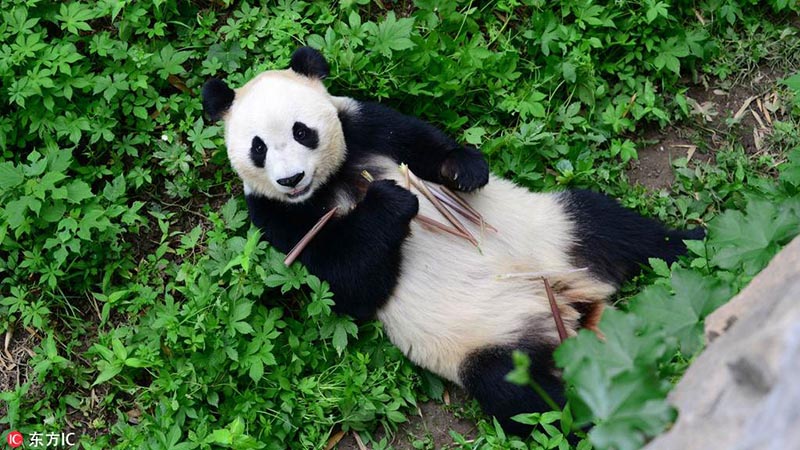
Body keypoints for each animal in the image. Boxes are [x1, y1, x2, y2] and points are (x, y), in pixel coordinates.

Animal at [202, 47, 703, 435]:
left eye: (302, 130)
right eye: (258, 147)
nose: (291, 179)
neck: (333, 183)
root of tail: (575, 306)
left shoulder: (364, 126)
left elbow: (422, 142)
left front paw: (463, 170)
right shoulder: (279, 220)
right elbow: (349, 283)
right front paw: (391, 202)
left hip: (556, 229)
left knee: (622, 229)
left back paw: (697, 244)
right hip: (493, 337)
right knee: (522, 394)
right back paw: (606, 415)